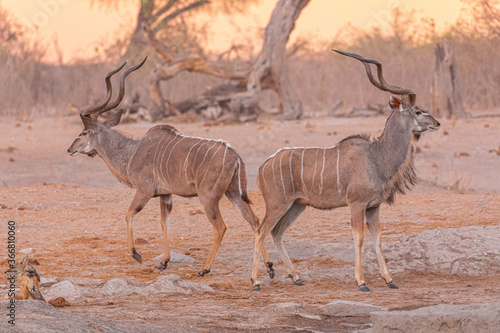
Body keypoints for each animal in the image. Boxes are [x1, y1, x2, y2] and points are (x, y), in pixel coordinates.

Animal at [67, 58, 274, 276]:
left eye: (83, 132)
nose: (69, 149)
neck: (133, 151)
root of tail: (235, 156)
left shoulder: (144, 192)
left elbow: (129, 214)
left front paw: (136, 254)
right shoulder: (165, 195)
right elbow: (164, 222)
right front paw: (164, 261)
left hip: (208, 197)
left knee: (221, 226)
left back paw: (204, 269)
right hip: (232, 193)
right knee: (255, 221)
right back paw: (269, 267)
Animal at [250, 49, 438, 290]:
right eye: (419, 111)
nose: (437, 123)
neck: (376, 156)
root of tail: (263, 166)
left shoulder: (373, 207)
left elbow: (377, 238)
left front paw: (389, 280)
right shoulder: (356, 204)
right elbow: (359, 238)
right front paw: (361, 282)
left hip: (297, 205)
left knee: (276, 232)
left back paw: (296, 278)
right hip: (277, 204)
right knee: (261, 231)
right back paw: (256, 282)